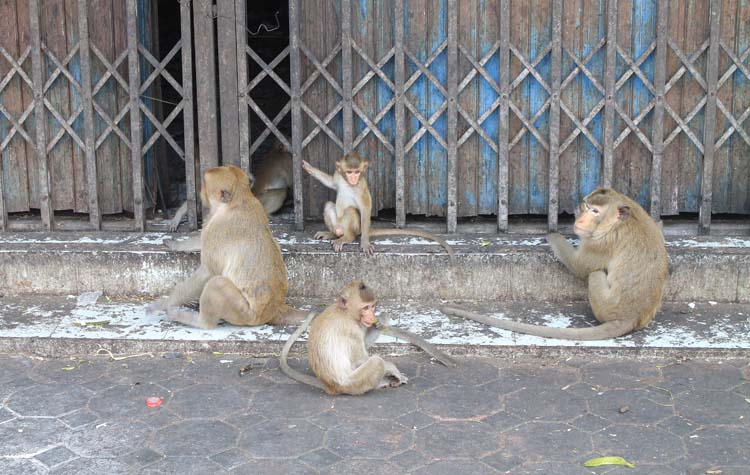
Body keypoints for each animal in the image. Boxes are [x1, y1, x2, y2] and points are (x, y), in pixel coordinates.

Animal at [150, 165, 306, 330]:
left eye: (204, 183)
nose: (200, 191)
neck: (240, 199)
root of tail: (274, 309)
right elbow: (201, 241)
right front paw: (176, 244)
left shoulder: (218, 228)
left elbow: (208, 272)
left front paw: (164, 303)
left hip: (244, 313)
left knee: (217, 283)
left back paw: (194, 320)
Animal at [280, 280, 412, 396]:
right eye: (365, 308)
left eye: (372, 306)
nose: (371, 316)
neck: (346, 312)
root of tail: (331, 387)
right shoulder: (350, 328)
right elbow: (360, 360)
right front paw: (392, 368)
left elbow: (365, 343)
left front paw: (383, 320)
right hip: (352, 384)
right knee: (377, 362)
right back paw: (381, 382)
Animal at [302, 153, 456, 258]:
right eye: (349, 172)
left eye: (357, 172)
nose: (353, 178)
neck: (349, 184)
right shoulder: (339, 177)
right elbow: (331, 182)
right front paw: (309, 168)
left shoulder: (361, 187)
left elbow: (365, 209)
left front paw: (365, 243)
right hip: (337, 224)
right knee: (329, 205)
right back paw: (332, 233)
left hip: (357, 228)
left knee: (351, 211)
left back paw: (347, 238)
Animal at [440, 188, 668, 340]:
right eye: (587, 206)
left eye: (595, 211)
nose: (580, 220)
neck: (619, 221)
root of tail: (631, 317)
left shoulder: (602, 241)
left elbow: (579, 266)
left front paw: (553, 235)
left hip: (605, 306)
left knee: (594, 273)